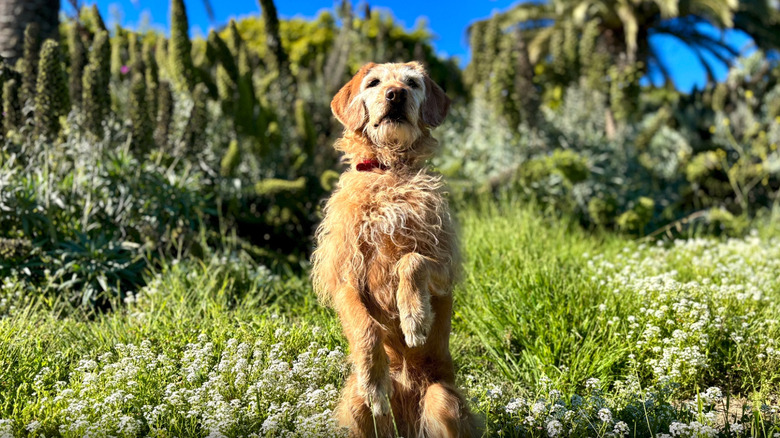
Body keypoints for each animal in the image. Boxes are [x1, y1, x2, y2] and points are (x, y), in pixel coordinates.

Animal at [310, 62, 476, 438]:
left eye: (412, 83)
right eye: (373, 82)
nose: (395, 94)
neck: (388, 171)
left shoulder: (443, 267)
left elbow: (410, 261)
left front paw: (414, 316)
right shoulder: (345, 276)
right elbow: (366, 327)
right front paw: (375, 379)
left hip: (443, 401)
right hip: (354, 405)